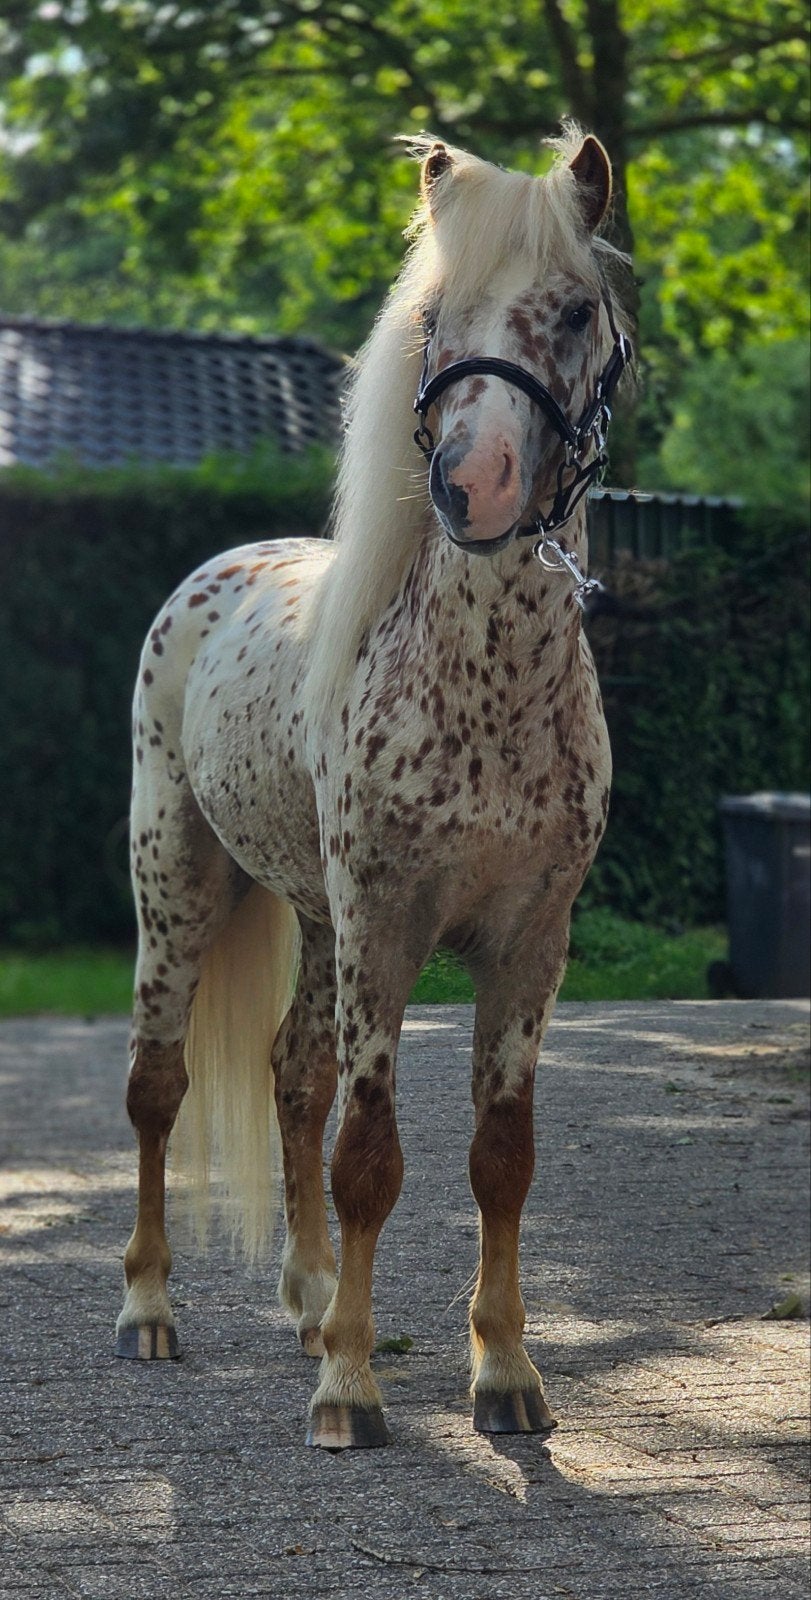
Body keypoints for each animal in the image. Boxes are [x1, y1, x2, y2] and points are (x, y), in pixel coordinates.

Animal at [116, 125, 632, 1450]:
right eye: (435, 320)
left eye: (572, 311)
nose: (475, 483)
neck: (485, 689)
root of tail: (213, 575)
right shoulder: (385, 924)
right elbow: (371, 1160)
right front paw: (350, 1386)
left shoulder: (531, 941)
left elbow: (499, 1157)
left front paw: (504, 1371)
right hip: (181, 888)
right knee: (158, 1087)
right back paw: (151, 1308)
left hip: (314, 921)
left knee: (291, 1075)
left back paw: (304, 1299)